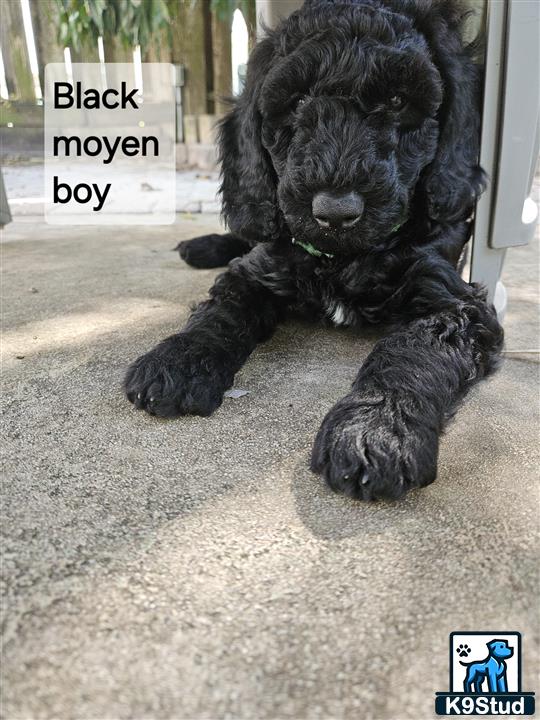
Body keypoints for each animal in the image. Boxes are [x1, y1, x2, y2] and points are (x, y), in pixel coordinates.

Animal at [124, 0, 504, 500]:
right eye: (299, 102)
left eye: (398, 102)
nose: (336, 211)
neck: (342, 259)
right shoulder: (260, 268)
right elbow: (221, 310)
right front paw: (178, 359)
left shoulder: (455, 302)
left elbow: (412, 352)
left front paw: (376, 429)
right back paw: (201, 246)